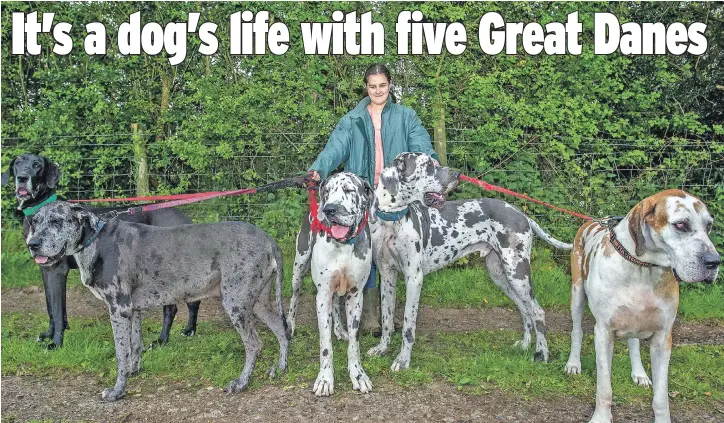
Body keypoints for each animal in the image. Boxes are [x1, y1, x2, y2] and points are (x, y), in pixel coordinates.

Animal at [25, 201, 292, 400]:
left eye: (57, 221)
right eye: (35, 222)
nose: (32, 244)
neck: (96, 241)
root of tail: (268, 239)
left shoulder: (118, 309)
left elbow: (121, 352)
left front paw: (117, 391)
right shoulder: (133, 310)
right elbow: (134, 345)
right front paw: (134, 371)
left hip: (236, 302)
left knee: (254, 343)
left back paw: (241, 383)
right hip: (257, 301)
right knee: (281, 329)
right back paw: (280, 368)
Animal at [288, 172, 376, 398]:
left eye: (349, 190)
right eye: (327, 191)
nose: (329, 209)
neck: (343, 246)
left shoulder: (355, 295)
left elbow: (355, 342)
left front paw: (358, 374)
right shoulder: (322, 295)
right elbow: (325, 344)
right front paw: (325, 379)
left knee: (336, 304)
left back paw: (339, 329)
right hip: (299, 265)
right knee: (294, 296)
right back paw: (290, 325)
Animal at [368, 154, 572, 372]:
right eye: (429, 165)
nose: (457, 174)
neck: (392, 221)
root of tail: (521, 214)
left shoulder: (414, 278)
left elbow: (408, 326)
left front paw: (403, 360)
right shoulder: (387, 276)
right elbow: (387, 319)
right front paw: (382, 348)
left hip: (518, 273)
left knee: (537, 312)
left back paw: (542, 353)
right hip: (500, 275)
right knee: (525, 310)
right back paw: (525, 345)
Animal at [564, 190, 720, 423]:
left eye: (708, 225)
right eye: (681, 225)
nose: (714, 262)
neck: (643, 268)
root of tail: (593, 221)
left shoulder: (663, 338)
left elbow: (661, 396)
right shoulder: (603, 332)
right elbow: (604, 388)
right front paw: (601, 417)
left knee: (634, 343)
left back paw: (639, 373)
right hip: (577, 293)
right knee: (577, 331)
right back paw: (573, 363)